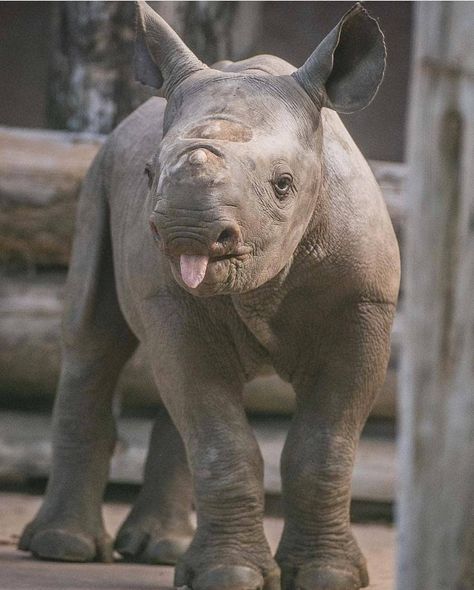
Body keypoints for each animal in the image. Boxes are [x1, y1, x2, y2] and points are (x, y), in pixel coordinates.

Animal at [21, 4, 400, 590]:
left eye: (283, 184)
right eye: (150, 173)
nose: (186, 230)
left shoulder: (362, 306)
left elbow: (324, 447)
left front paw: (326, 576)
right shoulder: (169, 297)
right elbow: (222, 439)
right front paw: (231, 575)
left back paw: (159, 549)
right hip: (98, 176)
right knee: (93, 340)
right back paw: (66, 548)